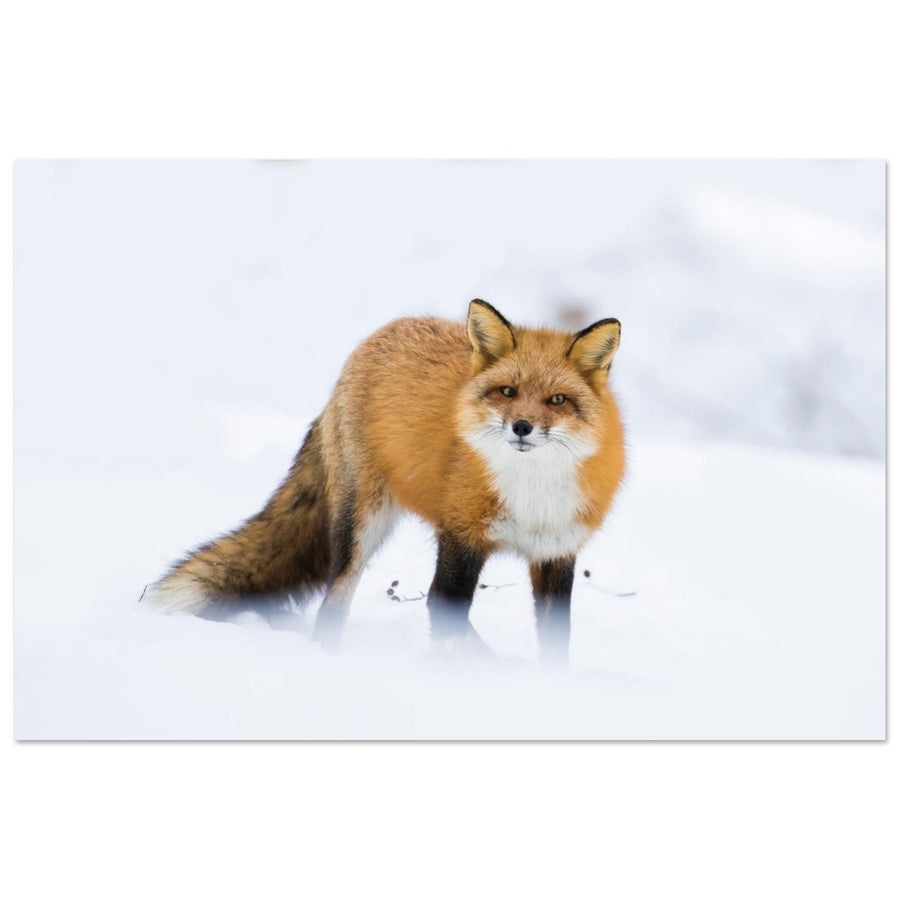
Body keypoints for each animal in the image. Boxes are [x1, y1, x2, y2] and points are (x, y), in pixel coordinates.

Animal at [146, 299, 625, 662]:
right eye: (508, 392)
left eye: (557, 400)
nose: (522, 427)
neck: (532, 494)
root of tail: (378, 335)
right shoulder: (461, 538)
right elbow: (443, 610)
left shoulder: (556, 551)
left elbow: (554, 643)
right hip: (361, 525)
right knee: (335, 601)